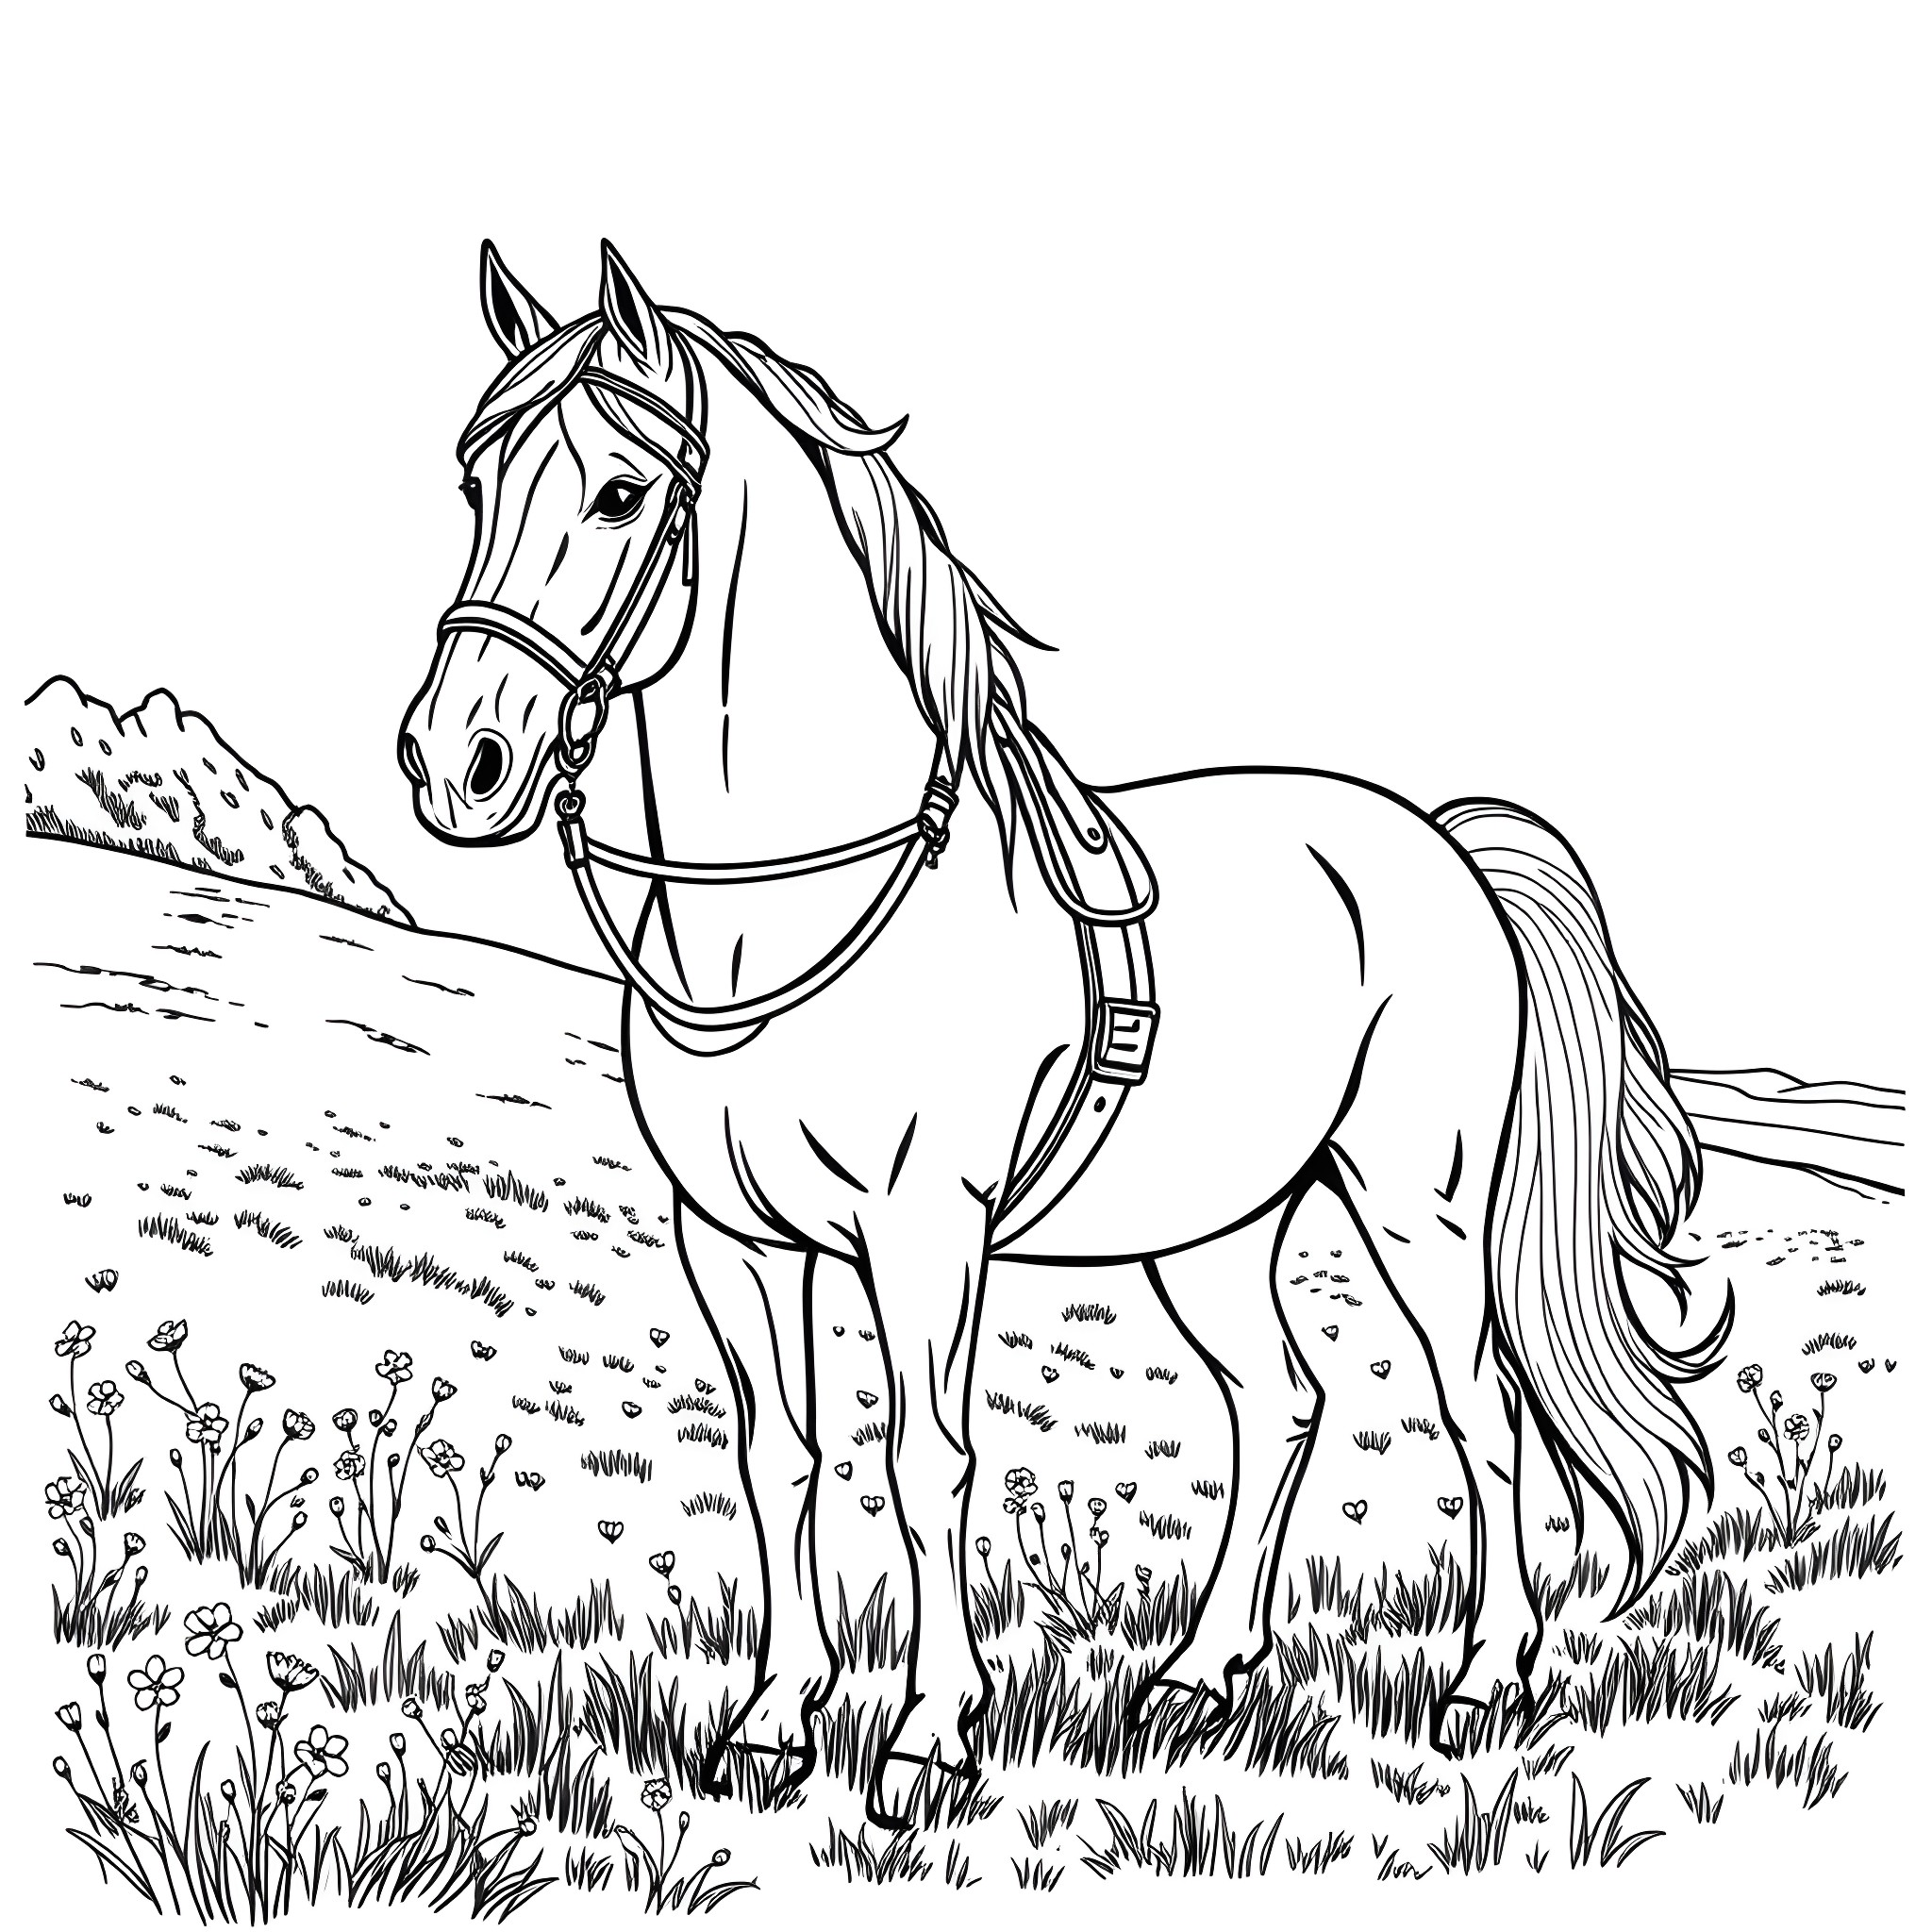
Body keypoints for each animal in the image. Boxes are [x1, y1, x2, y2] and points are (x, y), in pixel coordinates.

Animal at [398, 240, 1729, 1828]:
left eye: (619, 492)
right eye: (473, 483)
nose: (458, 763)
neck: (787, 909)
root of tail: (1443, 848)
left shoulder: (925, 1229)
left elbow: (925, 1461)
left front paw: (927, 1738)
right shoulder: (729, 1237)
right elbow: (781, 1457)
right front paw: (775, 1725)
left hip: (1425, 1208)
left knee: (1480, 1414)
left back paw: (1481, 1687)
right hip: (1214, 1229)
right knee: (1281, 1402)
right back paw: (1202, 1678)